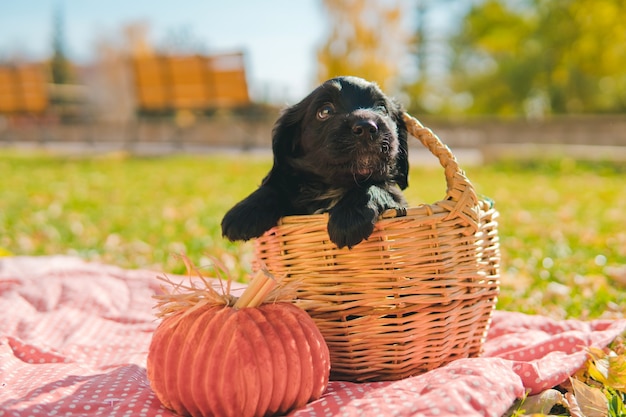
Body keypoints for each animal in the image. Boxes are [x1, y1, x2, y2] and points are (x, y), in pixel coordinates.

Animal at [222, 75, 408, 247]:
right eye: (325, 111)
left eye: (382, 109)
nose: (367, 127)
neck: (333, 187)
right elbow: (274, 187)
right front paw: (243, 213)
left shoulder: (397, 197)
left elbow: (379, 186)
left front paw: (349, 219)